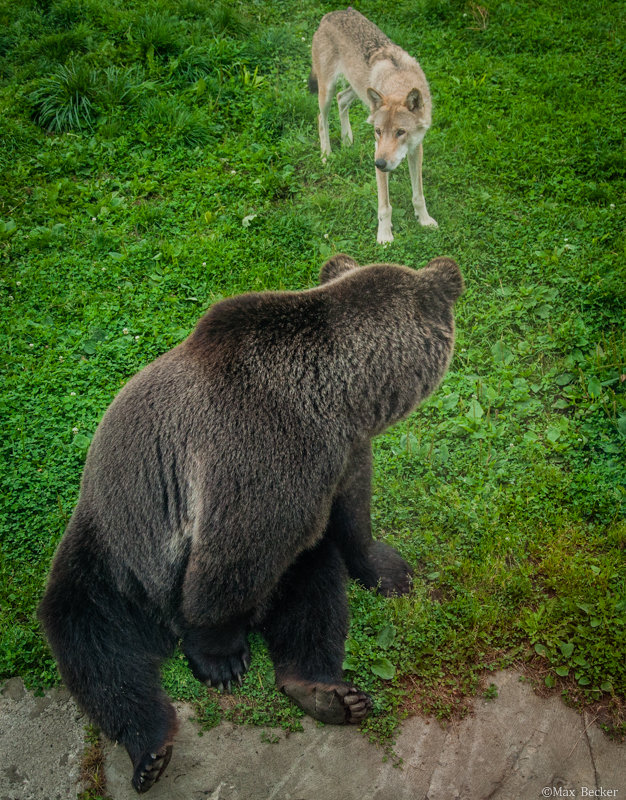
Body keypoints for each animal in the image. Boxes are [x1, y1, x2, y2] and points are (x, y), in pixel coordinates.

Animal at [310, 7, 436, 242]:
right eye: (378, 132)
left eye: (401, 132)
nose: (379, 163)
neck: (399, 82)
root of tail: (332, 14)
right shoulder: (378, 150)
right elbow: (385, 206)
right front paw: (385, 236)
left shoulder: (416, 149)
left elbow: (418, 194)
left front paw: (424, 221)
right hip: (327, 91)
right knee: (321, 119)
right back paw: (326, 154)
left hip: (360, 91)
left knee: (342, 99)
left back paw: (347, 139)